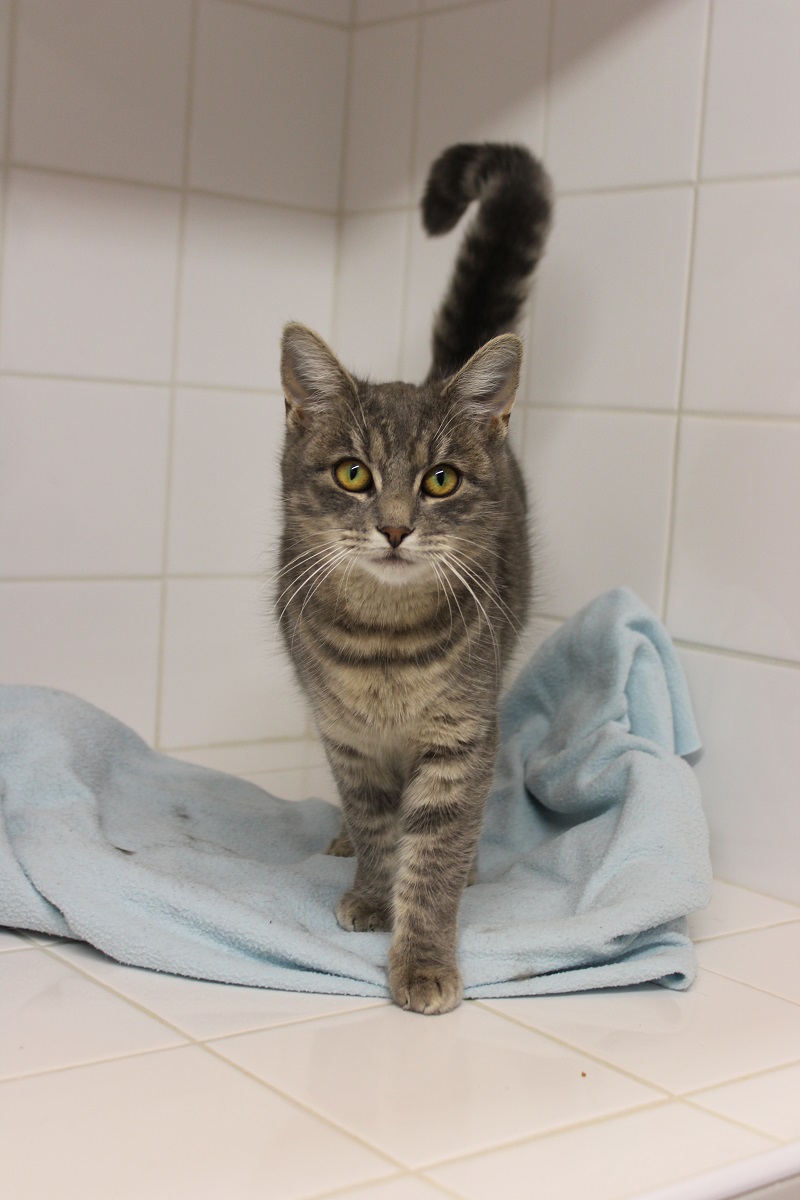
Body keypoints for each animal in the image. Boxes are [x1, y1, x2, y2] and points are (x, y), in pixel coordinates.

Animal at [277, 143, 552, 1014]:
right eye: (353, 473)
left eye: (439, 481)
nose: (395, 526)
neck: (383, 637)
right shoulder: (348, 738)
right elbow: (375, 824)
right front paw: (371, 890)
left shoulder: (462, 736)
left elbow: (432, 853)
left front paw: (424, 956)